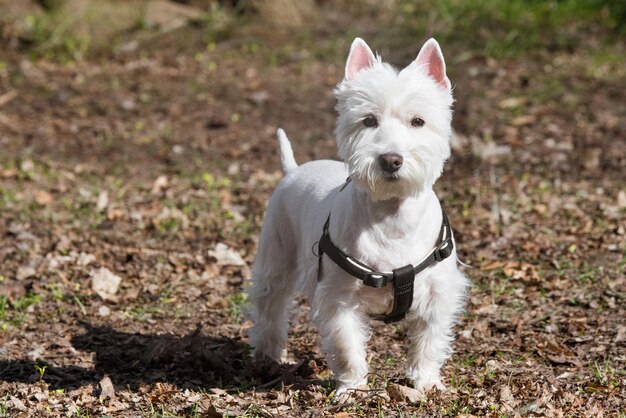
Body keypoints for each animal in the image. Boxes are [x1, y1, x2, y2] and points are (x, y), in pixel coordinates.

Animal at [249, 37, 468, 396]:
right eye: (369, 120)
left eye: (418, 121)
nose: (391, 159)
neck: (392, 217)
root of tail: (294, 170)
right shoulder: (339, 297)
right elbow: (346, 344)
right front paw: (352, 388)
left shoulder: (438, 294)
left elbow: (429, 339)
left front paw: (426, 382)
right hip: (276, 254)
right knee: (270, 305)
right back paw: (267, 356)